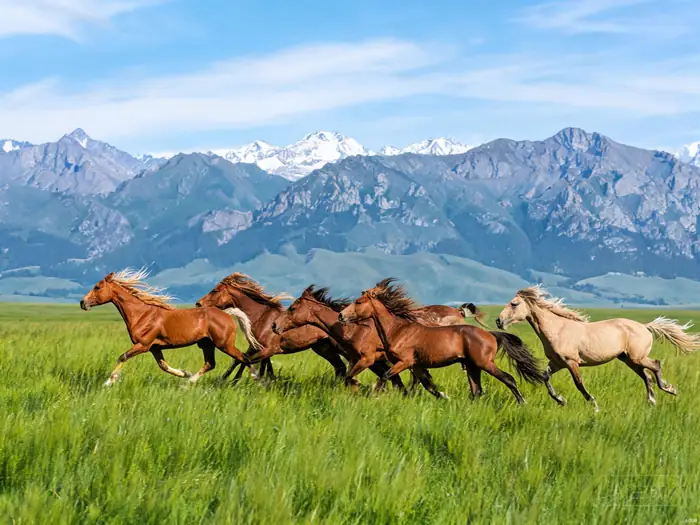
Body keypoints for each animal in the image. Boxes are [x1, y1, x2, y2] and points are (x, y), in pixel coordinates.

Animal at [80, 269, 262, 386]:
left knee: (243, 357)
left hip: (224, 344)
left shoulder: (143, 345)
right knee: (211, 363)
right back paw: (189, 381)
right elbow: (164, 366)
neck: (142, 314)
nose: (82, 303)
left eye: (97, 287)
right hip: (206, 344)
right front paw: (184, 373)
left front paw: (108, 382)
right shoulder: (154, 348)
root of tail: (229, 314)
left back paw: (257, 379)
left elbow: (122, 357)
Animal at [196, 273, 347, 382]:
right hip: (323, 348)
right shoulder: (256, 347)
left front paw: (234, 380)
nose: (198, 304)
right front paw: (226, 379)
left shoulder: (268, 350)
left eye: (215, 290)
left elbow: (247, 361)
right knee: (340, 367)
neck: (261, 318)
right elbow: (243, 360)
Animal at [272, 285, 490, 392]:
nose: (275, 326)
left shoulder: (369, 359)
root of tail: (458, 312)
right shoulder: (362, 360)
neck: (354, 329)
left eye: (292, 308)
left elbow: (359, 378)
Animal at [337, 278, 545, 402]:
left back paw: (522, 402)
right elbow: (428, 385)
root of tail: (491, 335)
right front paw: (444, 397)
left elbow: (385, 376)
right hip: (472, 366)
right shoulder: (416, 365)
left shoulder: (405, 362)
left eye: (359, 302)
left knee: (509, 379)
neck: (397, 330)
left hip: (484, 363)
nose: (340, 315)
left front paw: (373, 393)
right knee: (477, 391)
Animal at [496, 285, 700, 411]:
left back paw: (669, 389)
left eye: (514, 304)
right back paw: (652, 400)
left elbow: (579, 384)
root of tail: (645, 326)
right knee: (647, 376)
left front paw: (594, 406)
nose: (499, 321)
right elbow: (545, 378)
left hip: (637, 358)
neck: (558, 329)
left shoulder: (571, 362)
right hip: (629, 360)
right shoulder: (557, 363)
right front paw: (561, 400)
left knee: (656, 365)